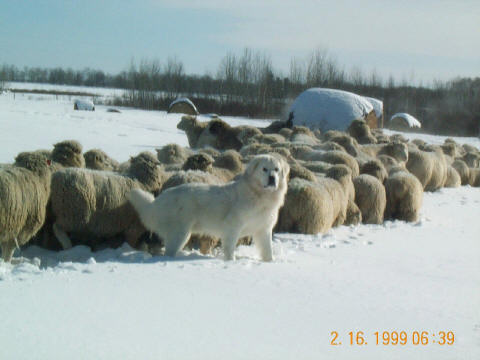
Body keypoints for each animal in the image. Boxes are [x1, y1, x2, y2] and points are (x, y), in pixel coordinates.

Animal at [127, 153, 288, 260]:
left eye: (276, 169)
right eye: (264, 169)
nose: (272, 178)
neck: (259, 194)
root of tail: (164, 196)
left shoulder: (264, 230)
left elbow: (268, 251)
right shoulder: (232, 228)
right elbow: (230, 249)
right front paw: (230, 263)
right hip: (180, 233)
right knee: (168, 252)